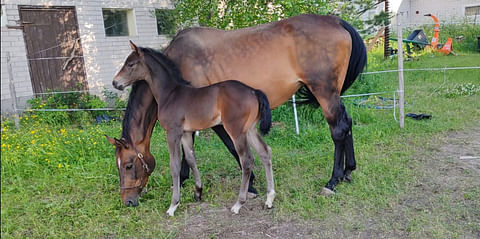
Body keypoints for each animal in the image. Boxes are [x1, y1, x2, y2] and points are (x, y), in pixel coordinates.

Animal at [110, 43, 272, 217]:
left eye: (130, 64)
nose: (115, 83)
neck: (170, 94)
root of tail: (253, 91)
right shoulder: (186, 133)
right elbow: (190, 159)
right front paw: (198, 192)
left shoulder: (172, 132)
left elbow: (174, 165)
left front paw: (173, 205)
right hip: (250, 130)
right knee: (265, 152)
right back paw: (270, 198)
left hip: (236, 131)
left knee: (247, 159)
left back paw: (238, 204)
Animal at [161, 14, 368, 195]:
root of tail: (334, 20)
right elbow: (190, 147)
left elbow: (226, 145)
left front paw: (250, 183)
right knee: (347, 122)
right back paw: (348, 170)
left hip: (325, 93)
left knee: (338, 130)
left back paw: (333, 181)